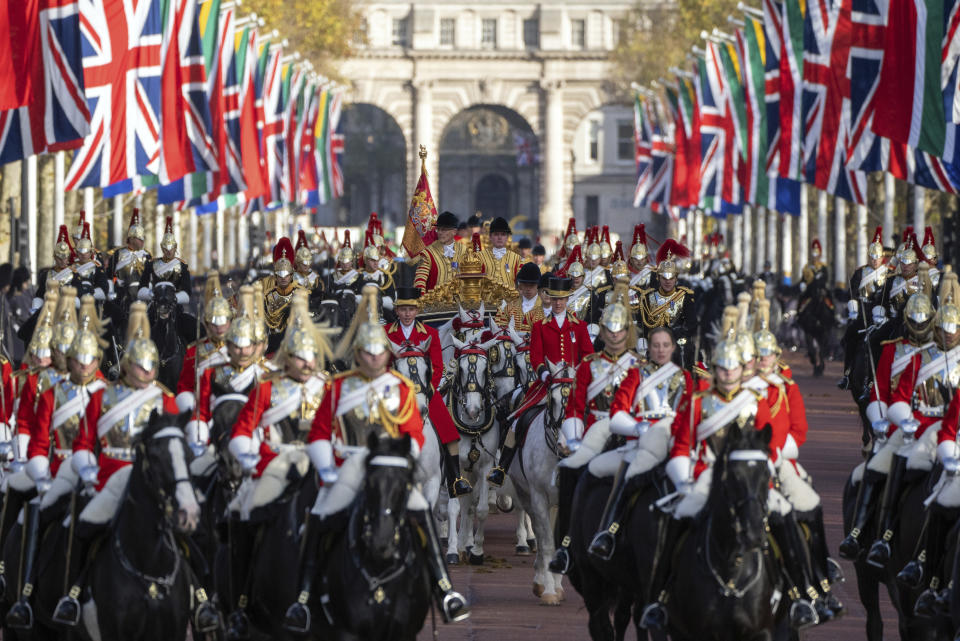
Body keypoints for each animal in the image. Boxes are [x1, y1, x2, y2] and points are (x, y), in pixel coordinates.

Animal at [2, 410, 202, 640]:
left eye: (189, 456)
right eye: (155, 456)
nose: (189, 512)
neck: (149, 565)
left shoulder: (173, 631)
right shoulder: (112, 632)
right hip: (32, 628)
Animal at [506, 360, 572, 604]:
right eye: (553, 400)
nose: (565, 445)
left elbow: (560, 542)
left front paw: (557, 586)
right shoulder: (538, 497)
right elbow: (546, 542)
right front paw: (550, 592)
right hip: (525, 494)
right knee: (538, 530)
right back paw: (540, 581)